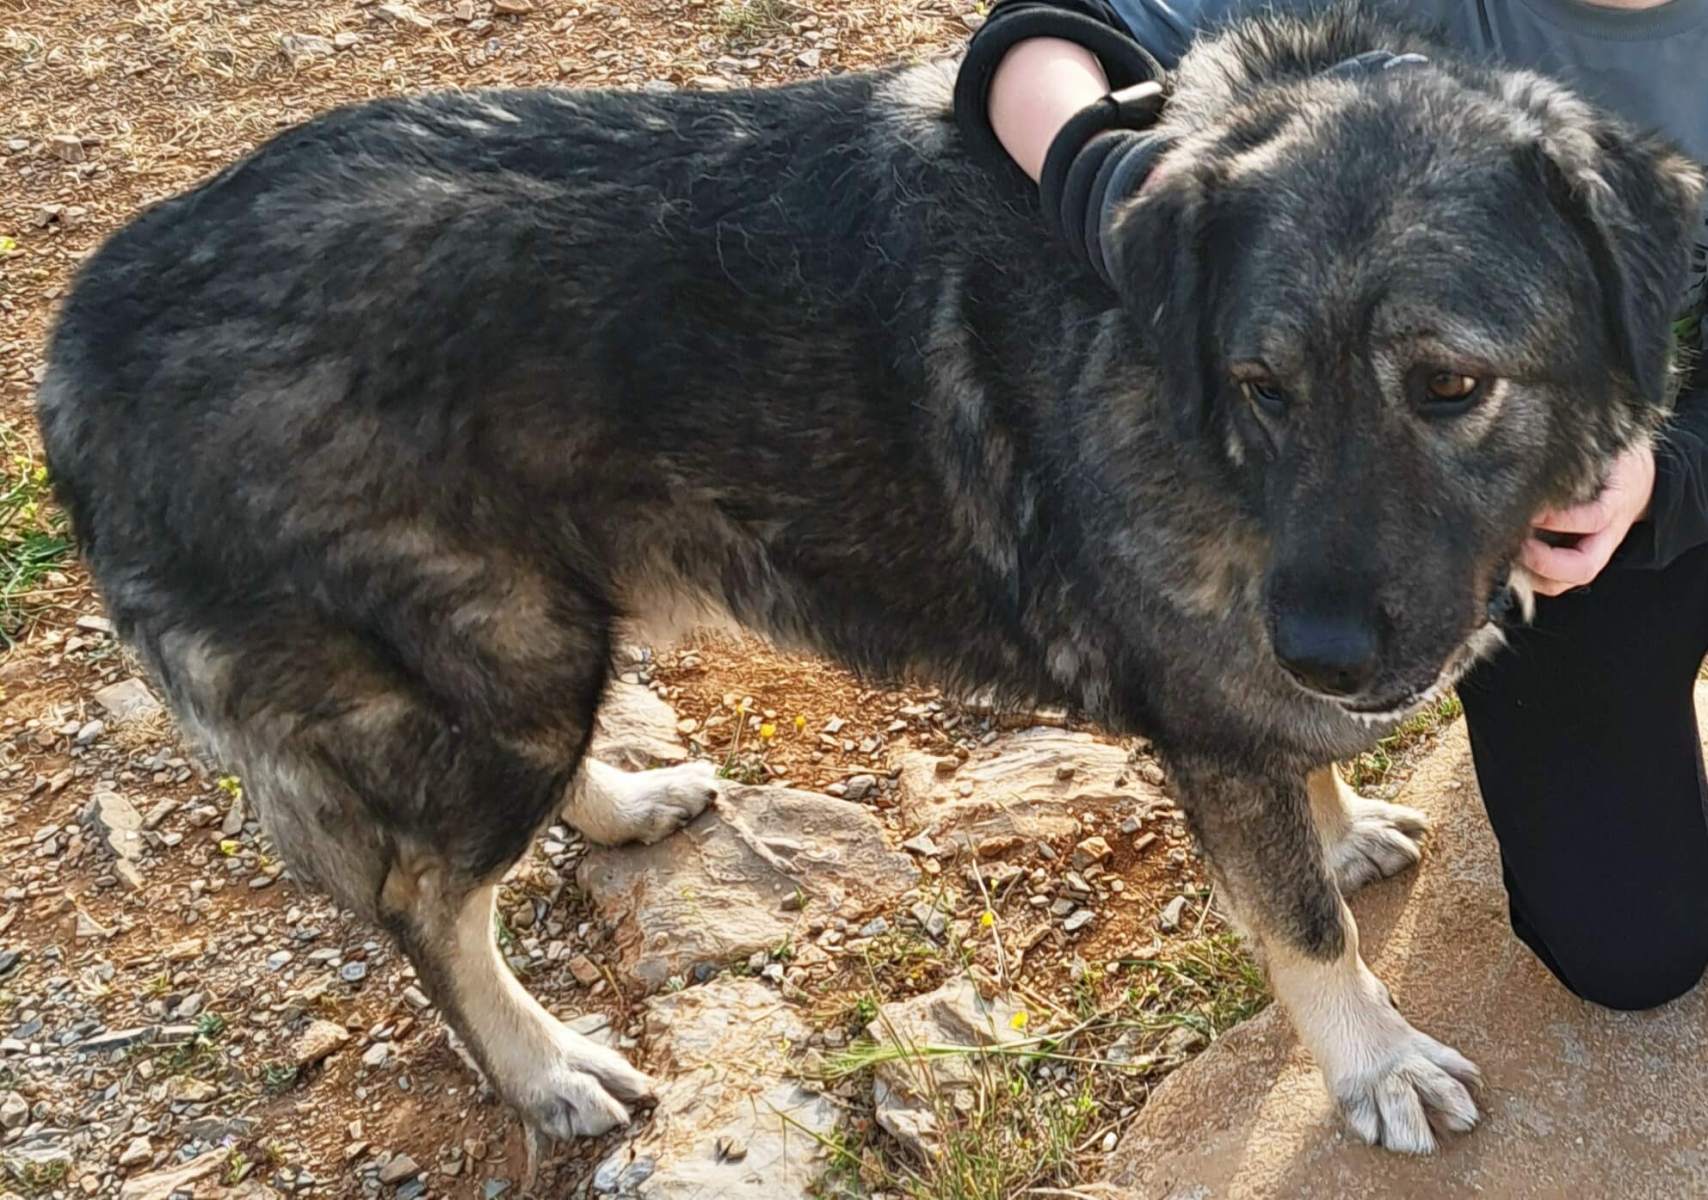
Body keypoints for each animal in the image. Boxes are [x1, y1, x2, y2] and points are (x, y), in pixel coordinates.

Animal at [35, 3, 1702, 1158]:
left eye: (1451, 386)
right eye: (1262, 386)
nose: (1330, 655)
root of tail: (88, 327)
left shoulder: (1256, 679)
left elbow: (1301, 796)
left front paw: (1341, 817)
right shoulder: (1221, 695)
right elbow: (1299, 927)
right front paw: (1372, 1064)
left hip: (538, 646)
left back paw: (621, 802)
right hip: (493, 663)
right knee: (427, 906)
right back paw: (543, 1065)